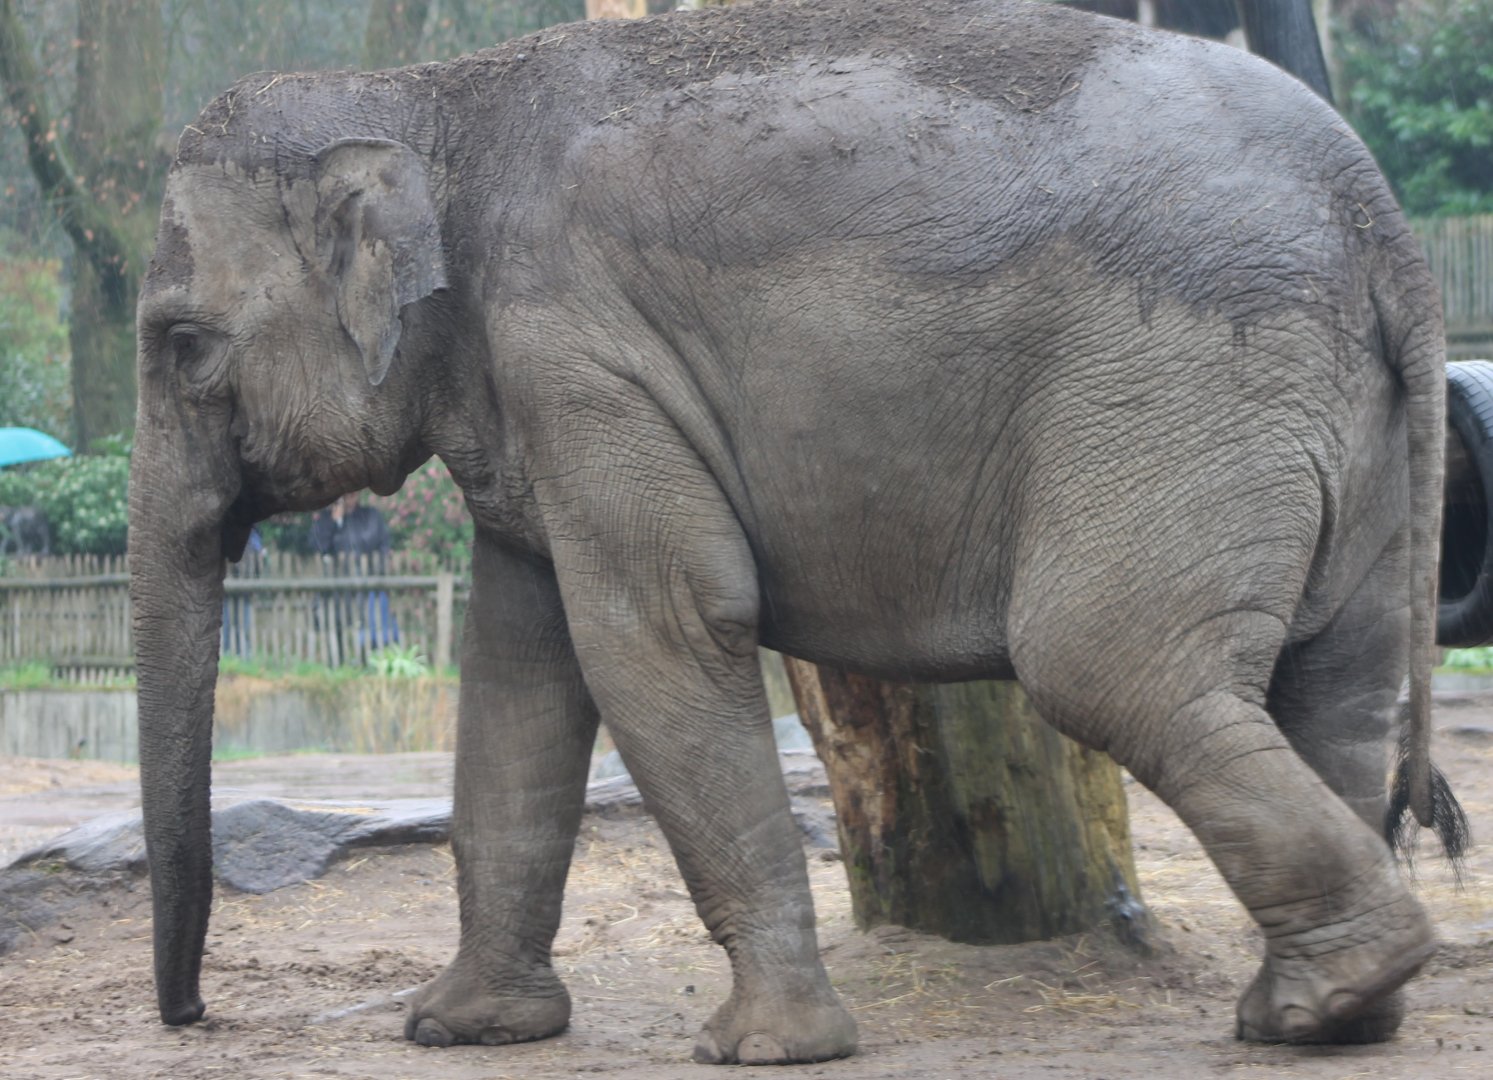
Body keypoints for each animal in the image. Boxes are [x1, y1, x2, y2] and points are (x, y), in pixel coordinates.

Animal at [130, 0, 1462, 1064]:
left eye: (180, 346)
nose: (194, 1016)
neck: (437, 98)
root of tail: (1383, 222)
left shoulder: (577, 352)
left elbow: (658, 634)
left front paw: (764, 1049)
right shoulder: (532, 388)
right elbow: (519, 674)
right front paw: (462, 1030)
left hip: (1183, 389)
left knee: (1106, 665)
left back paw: (1339, 989)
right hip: (1345, 443)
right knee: (1333, 692)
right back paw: (1333, 1018)